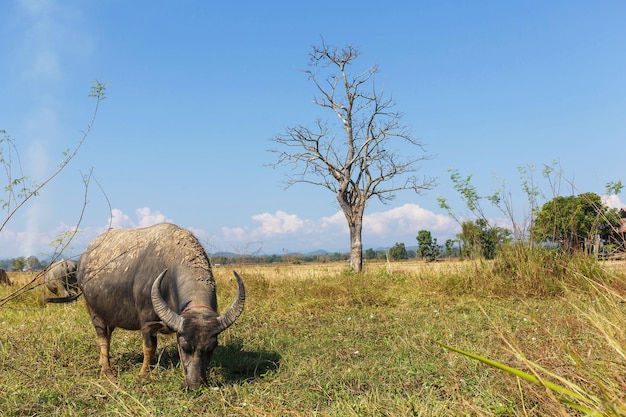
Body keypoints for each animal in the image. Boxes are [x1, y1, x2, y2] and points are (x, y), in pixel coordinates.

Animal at [75, 223, 244, 388]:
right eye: (185, 347)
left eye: (212, 347)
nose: (195, 384)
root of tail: (83, 259)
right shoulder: (147, 322)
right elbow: (149, 348)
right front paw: (143, 374)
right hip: (94, 312)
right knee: (103, 337)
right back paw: (106, 370)